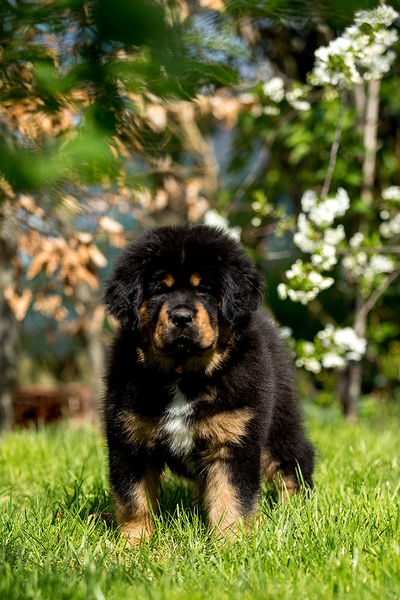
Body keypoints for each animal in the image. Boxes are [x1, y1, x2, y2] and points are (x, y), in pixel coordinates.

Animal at [101, 224, 314, 544]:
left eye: (204, 289)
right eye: (160, 289)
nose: (181, 317)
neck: (182, 375)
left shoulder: (233, 439)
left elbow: (230, 498)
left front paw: (230, 544)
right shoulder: (129, 439)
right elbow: (133, 501)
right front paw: (133, 545)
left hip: (279, 421)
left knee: (293, 462)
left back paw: (297, 512)